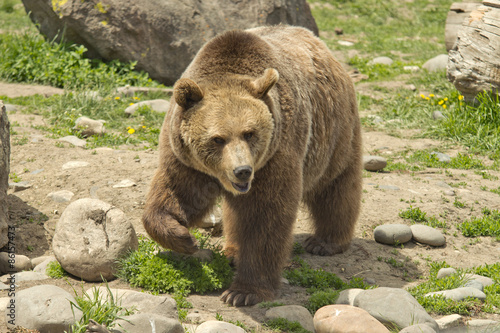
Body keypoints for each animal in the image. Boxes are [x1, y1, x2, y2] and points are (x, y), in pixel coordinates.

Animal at [143, 25, 362, 306]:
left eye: (249, 133)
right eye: (218, 138)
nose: (242, 171)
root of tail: (317, 41)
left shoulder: (277, 154)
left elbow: (265, 218)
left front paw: (243, 291)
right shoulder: (185, 158)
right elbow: (176, 194)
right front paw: (184, 238)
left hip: (334, 134)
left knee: (336, 187)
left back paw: (325, 242)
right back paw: (233, 251)